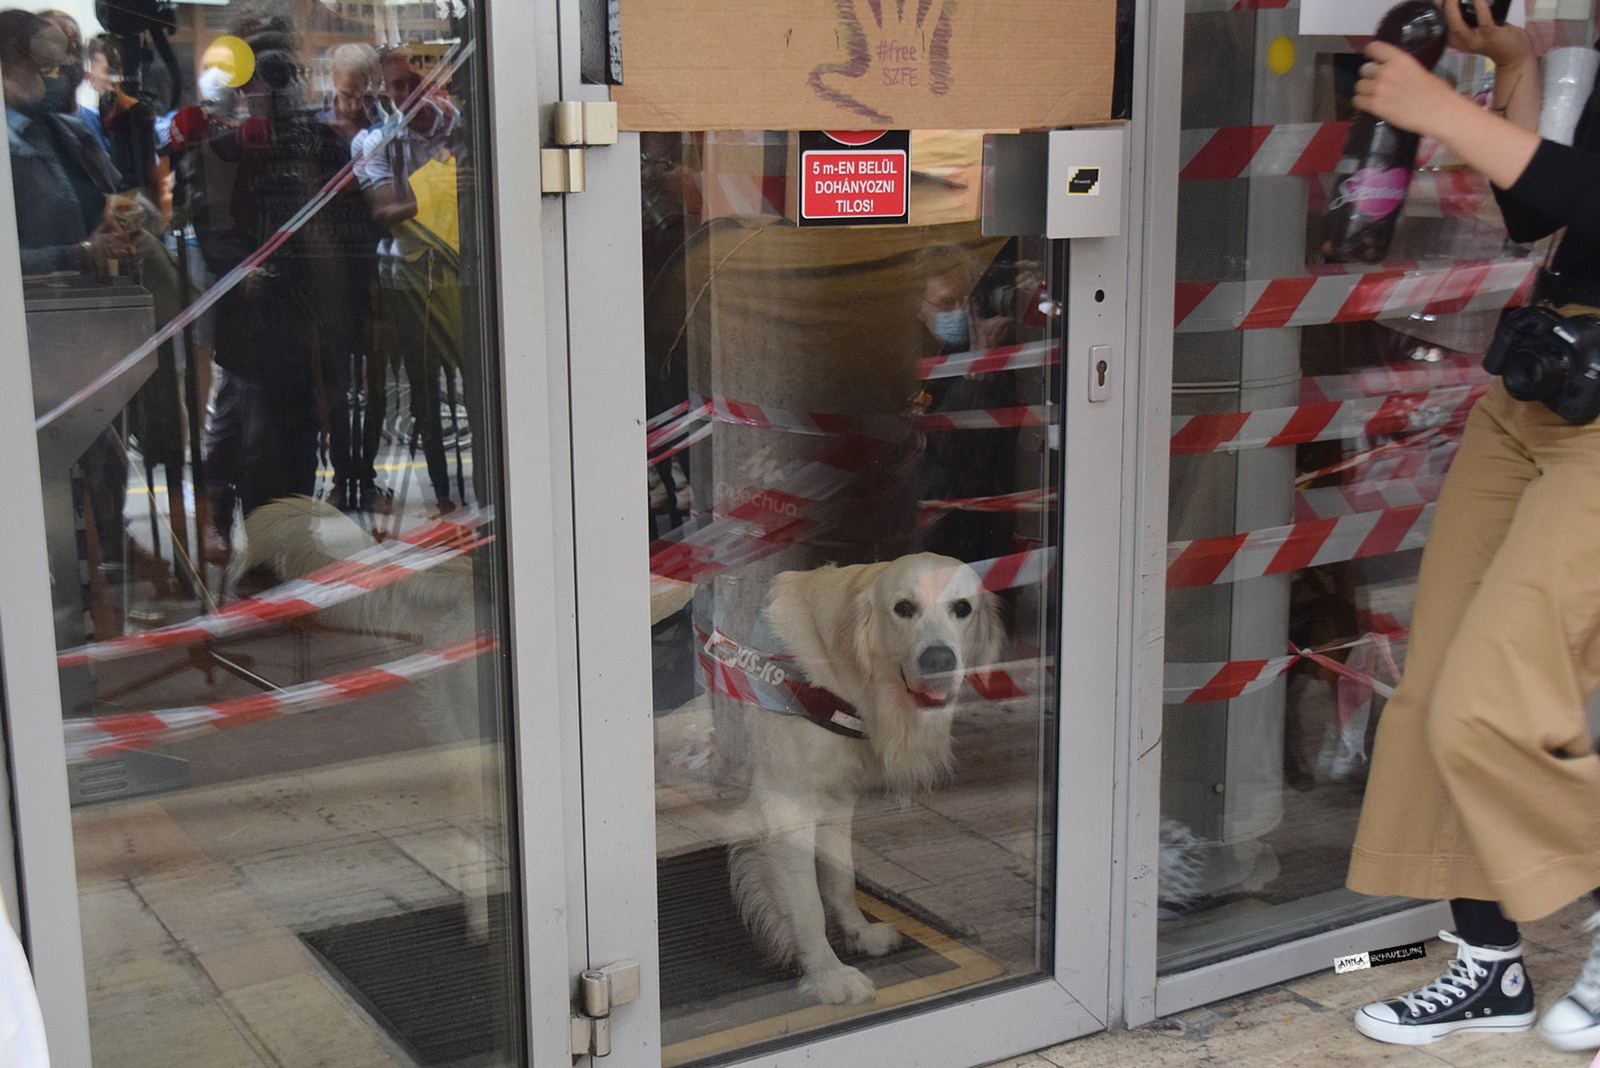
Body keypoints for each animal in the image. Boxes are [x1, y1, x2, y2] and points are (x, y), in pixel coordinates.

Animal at [732, 556, 1004, 1004]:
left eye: (962, 608)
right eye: (903, 608)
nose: (939, 660)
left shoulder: (838, 796)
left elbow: (841, 877)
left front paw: (858, 933)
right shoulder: (787, 802)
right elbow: (807, 903)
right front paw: (828, 974)